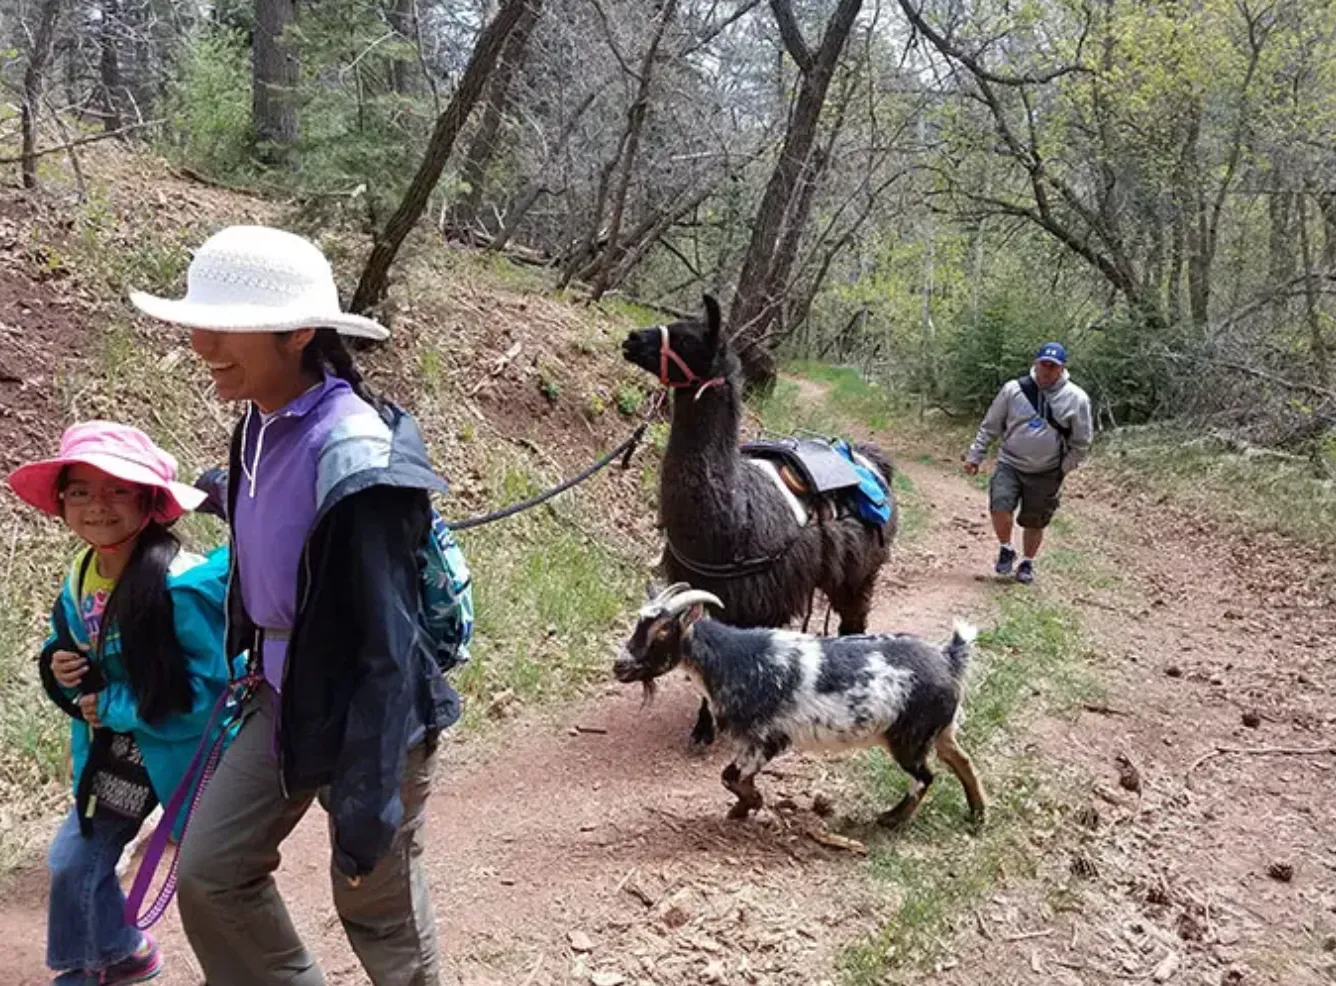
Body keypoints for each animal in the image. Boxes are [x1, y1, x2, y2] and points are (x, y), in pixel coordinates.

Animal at [614, 582, 983, 823]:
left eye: (663, 630)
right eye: (638, 623)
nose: (620, 666)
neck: (731, 660)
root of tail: (948, 659)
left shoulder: (765, 738)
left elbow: (729, 776)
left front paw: (749, 804)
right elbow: (734, 777)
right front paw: (744, 807)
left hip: (909, 736)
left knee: (925, 777)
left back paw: (891, 820)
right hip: (939, 730)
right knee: (961, 760)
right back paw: (977, 815)